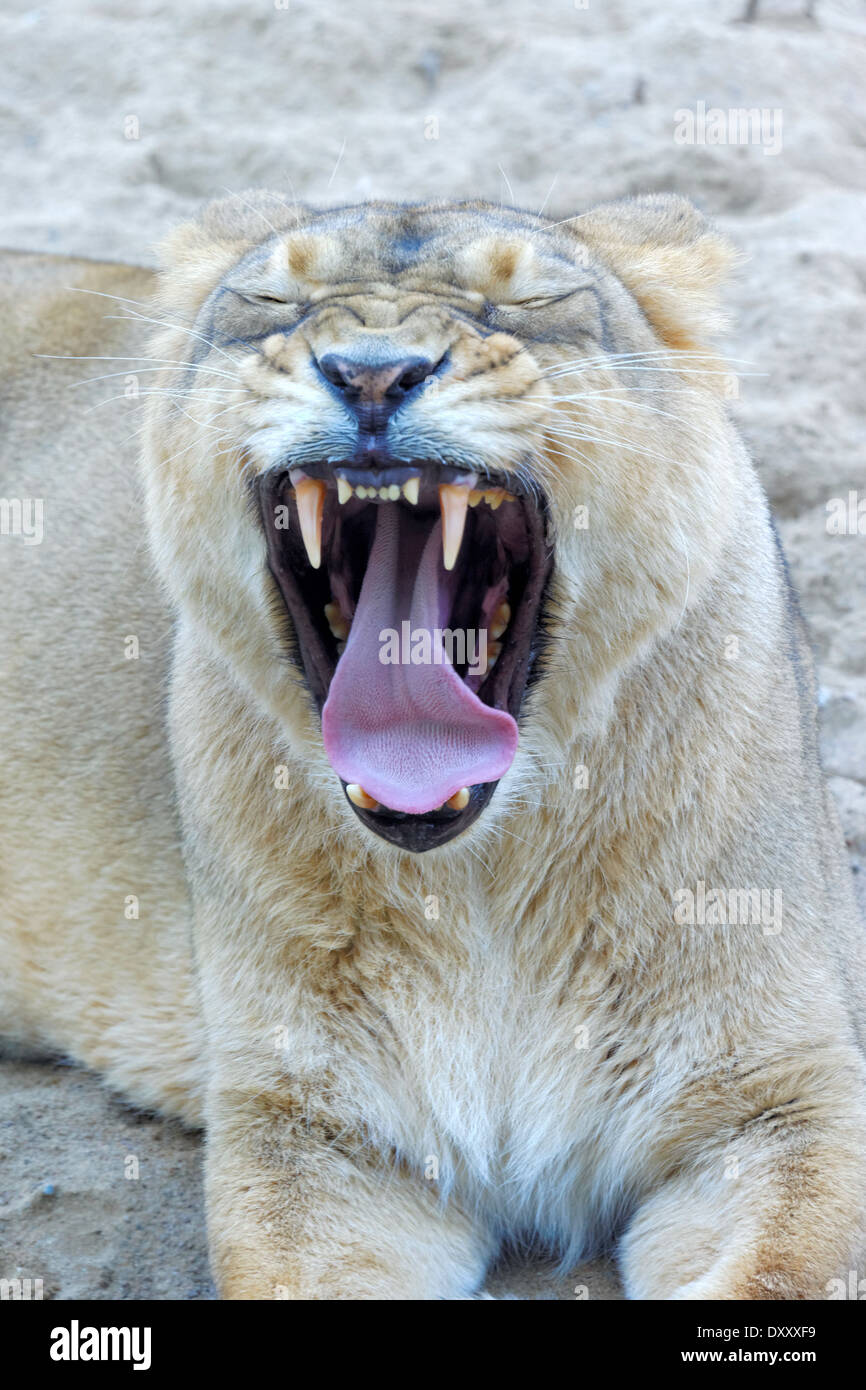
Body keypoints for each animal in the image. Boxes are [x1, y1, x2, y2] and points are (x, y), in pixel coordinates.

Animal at [0, 198, 861, 1301]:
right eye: (271, 302)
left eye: (528, 302)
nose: (371, 374)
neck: (485, 882)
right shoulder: (318, 1135)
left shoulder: (779, 1098)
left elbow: (782, 1271)